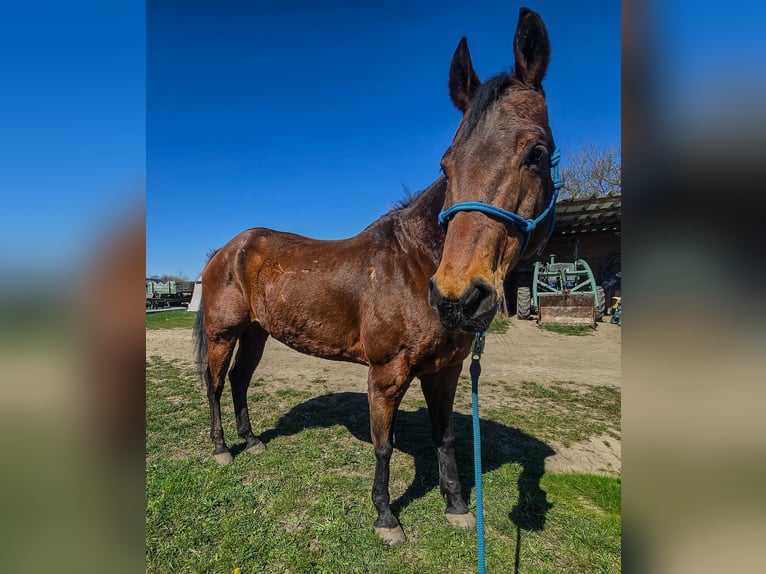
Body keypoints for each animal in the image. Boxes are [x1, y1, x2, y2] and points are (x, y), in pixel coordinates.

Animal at [194, 7, 557, 546]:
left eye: (536, 152)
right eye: (447, 164)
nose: (458, 297)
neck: (417, 261)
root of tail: (226, 250)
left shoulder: (446, 371)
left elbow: (445, 436)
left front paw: (456, 506)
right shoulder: (386, 374)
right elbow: (383, 445)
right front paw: (387, 517)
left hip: (257, 333)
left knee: (240, 381)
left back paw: (252, 440)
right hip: (224, 332)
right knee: (217, 384)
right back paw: (222, 449)